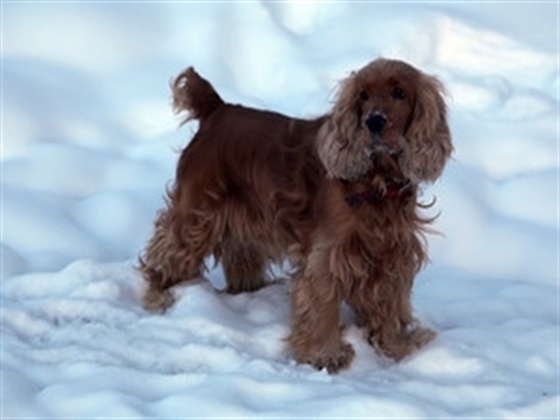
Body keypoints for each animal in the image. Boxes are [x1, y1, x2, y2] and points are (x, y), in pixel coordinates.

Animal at [140, 57, 456, 372]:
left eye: (399, 92)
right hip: (196, 215)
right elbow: (322, 306)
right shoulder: (328, 256)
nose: (373, 121)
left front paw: (397, 348)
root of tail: (216, 109)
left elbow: (389, 304)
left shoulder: (392, 255)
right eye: (363, 96)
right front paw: (325, 355)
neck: (378, 183)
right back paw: (161, 294)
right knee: (166, 251)